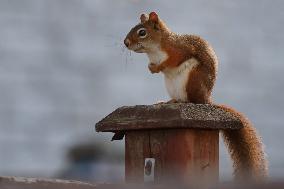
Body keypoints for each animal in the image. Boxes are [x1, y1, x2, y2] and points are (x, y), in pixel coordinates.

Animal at [123, 11, 268, 180]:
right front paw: (151, 68)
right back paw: (168, 101)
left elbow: (173, 60)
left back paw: (184, 103)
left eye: (142, 32)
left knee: (192, 100)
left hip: (192, 78)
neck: (154, 50)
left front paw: (158, 67)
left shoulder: (179, 50)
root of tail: (206, 99)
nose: (125, 42)